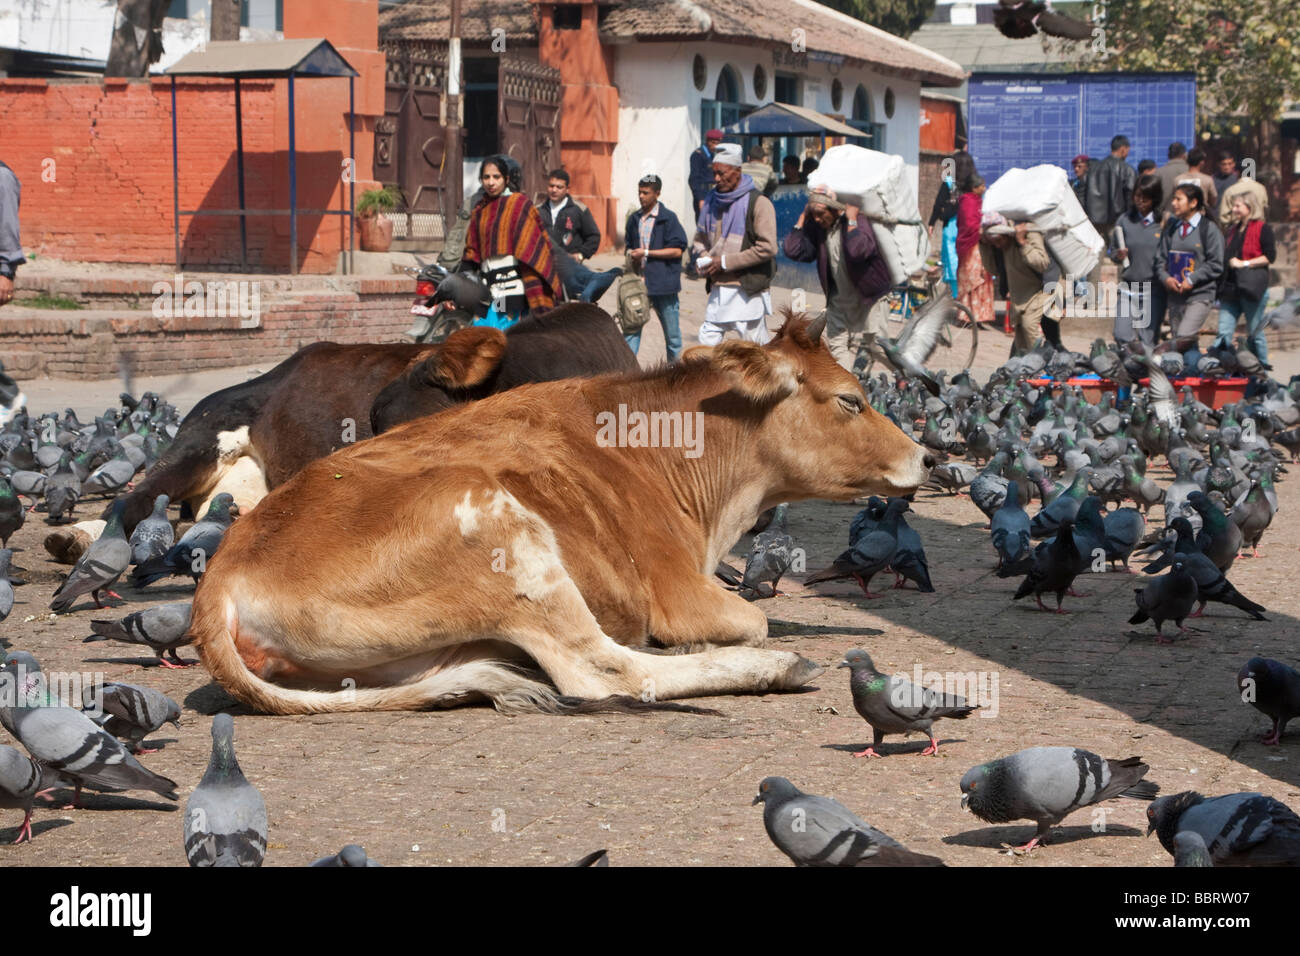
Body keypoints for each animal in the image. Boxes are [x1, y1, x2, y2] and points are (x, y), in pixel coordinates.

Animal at [188, 317, 930, 712]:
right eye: (849, 399)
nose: (926, 457)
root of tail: (222, 574)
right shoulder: (679, 591)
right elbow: (752, 618)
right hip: (505, 539)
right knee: (601, 671)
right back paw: (776, 666)